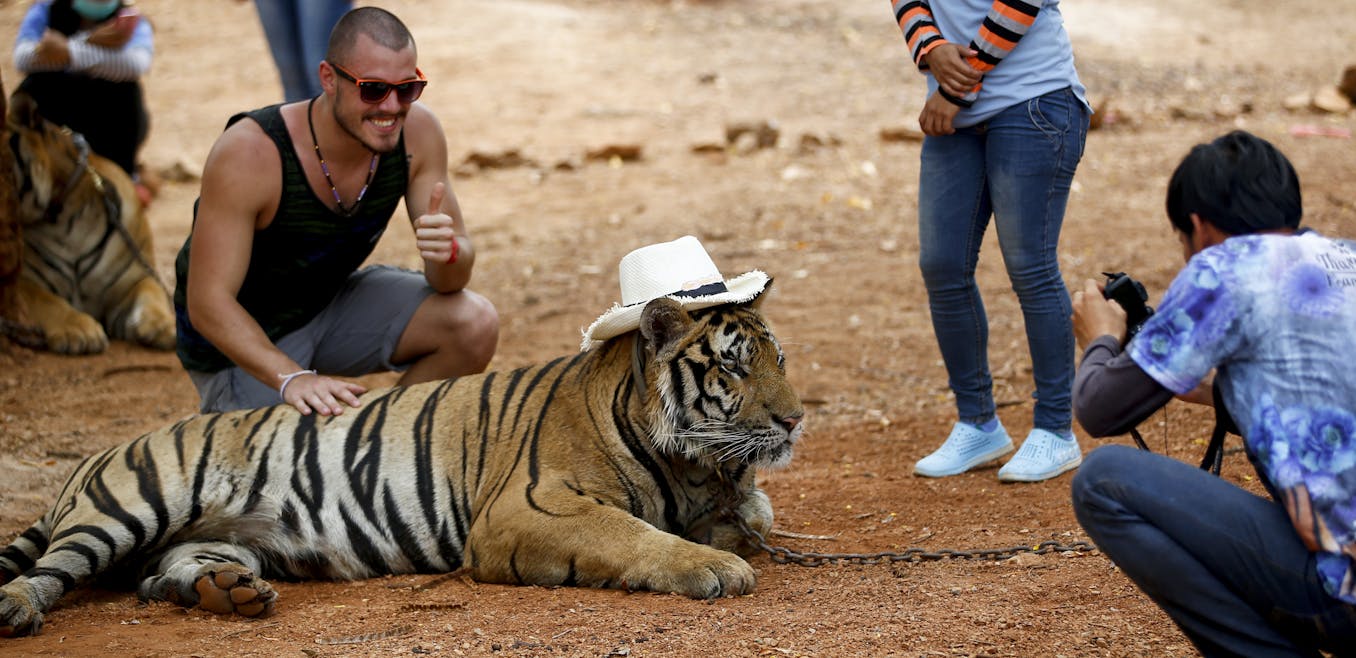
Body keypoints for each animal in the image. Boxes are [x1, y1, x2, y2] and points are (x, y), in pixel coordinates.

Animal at [0, 291, 805, 637]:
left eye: (779, 357)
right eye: (733, 366)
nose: (795, 419)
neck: (694, 465)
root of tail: (99, 453)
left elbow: (750, 517)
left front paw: (731, 534)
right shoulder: (525, 507)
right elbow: (630, 534)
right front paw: (717, 568)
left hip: (215, 538)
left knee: (159, 577)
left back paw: (226, 596)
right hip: (131, 504)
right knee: (55, 570)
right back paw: (17, 609)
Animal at [5, 90, 175, 354]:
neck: (63, 221)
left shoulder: (133, 276)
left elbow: (151, 292)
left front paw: (162, 325)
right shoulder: (20, 281)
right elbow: (44, 299)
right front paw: (78, 331)